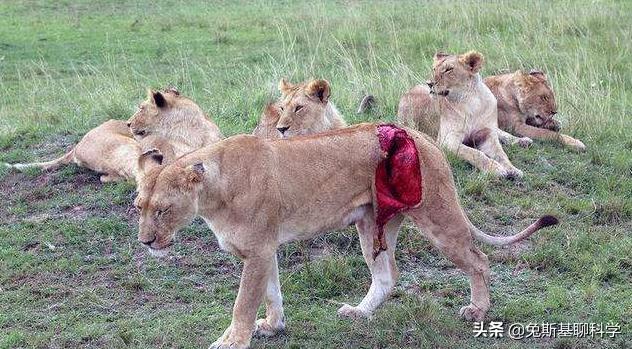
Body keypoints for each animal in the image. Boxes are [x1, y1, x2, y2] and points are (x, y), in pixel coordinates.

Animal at [135, 121, 556, 346]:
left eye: (163, 210)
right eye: (138, 207)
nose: (146, 242)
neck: (212, 193)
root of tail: (425, 138)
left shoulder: (256, 251)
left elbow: (243, 304)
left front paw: (232, 341)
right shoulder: (264, 250)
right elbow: (271, 293)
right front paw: (273, 326)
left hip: (436, 216)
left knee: (478, 259)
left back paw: (478, 309)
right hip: (371, 224)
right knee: (387, 276)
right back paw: (359, 312)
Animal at [398, 50, 532, 178]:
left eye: (448, 69)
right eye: (434, 69)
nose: (429, 83)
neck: (471, 102)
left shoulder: (487, 135)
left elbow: (501, 154)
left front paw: (513, 170)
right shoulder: (447, 140)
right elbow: (475, 153)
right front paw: (496, 169)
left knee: (500, 133)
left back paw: (522, 140)